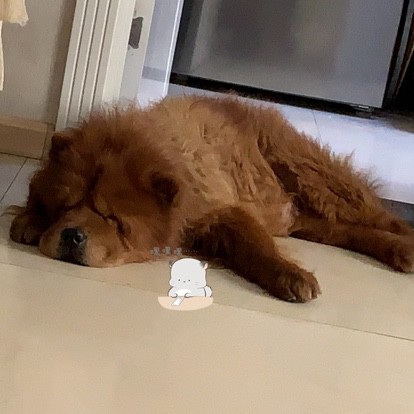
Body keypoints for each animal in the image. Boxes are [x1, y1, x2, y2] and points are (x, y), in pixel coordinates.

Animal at [9, 95, 414, 303]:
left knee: (378, 217)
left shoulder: (222, 211)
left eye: (114, 220)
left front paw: (291, 277)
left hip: (315, 177)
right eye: (65, 206)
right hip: (303, 216)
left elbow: (255, 244)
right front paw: (28, 221)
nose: (72, 235)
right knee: (344, 231)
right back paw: (399, 252)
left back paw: (405, 244)